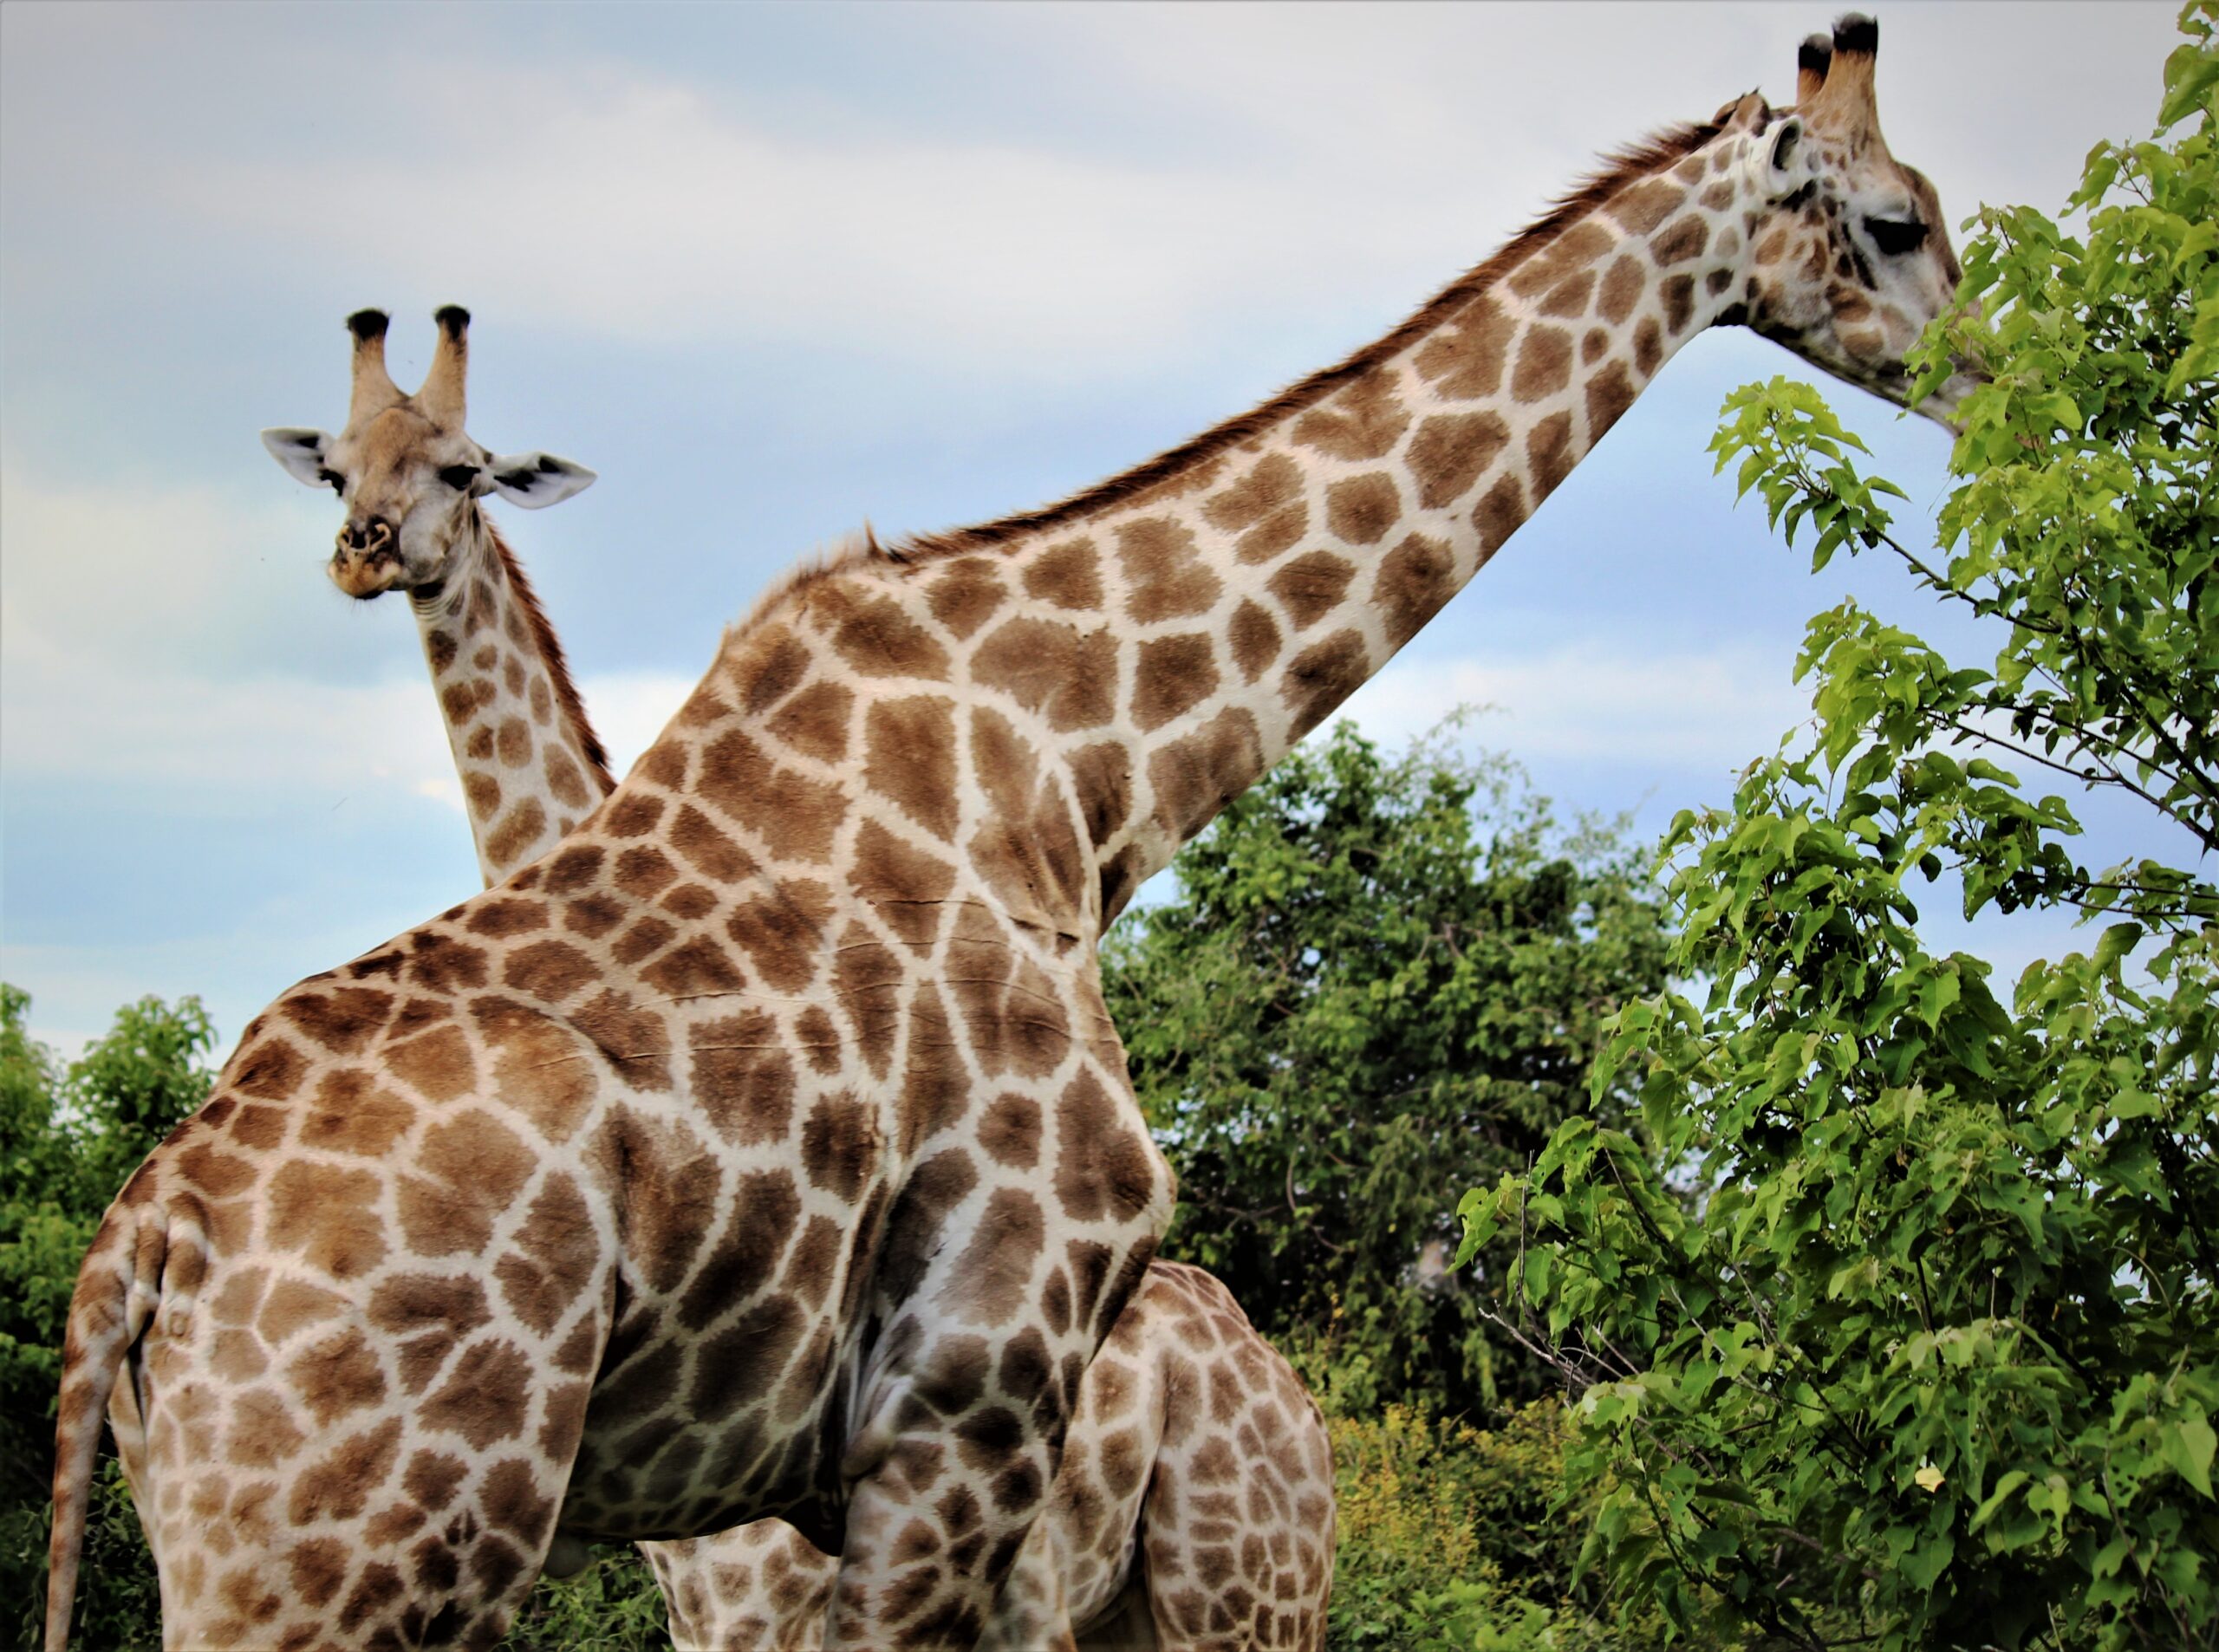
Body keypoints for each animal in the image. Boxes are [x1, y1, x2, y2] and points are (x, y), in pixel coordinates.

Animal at [266, 335, 1322, 1649]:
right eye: (336, 464)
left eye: (464, 470)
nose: (364, 548)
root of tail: (1295, 1392)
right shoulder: (701, 1592)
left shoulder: (757, 1585)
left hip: (1238, 1588)